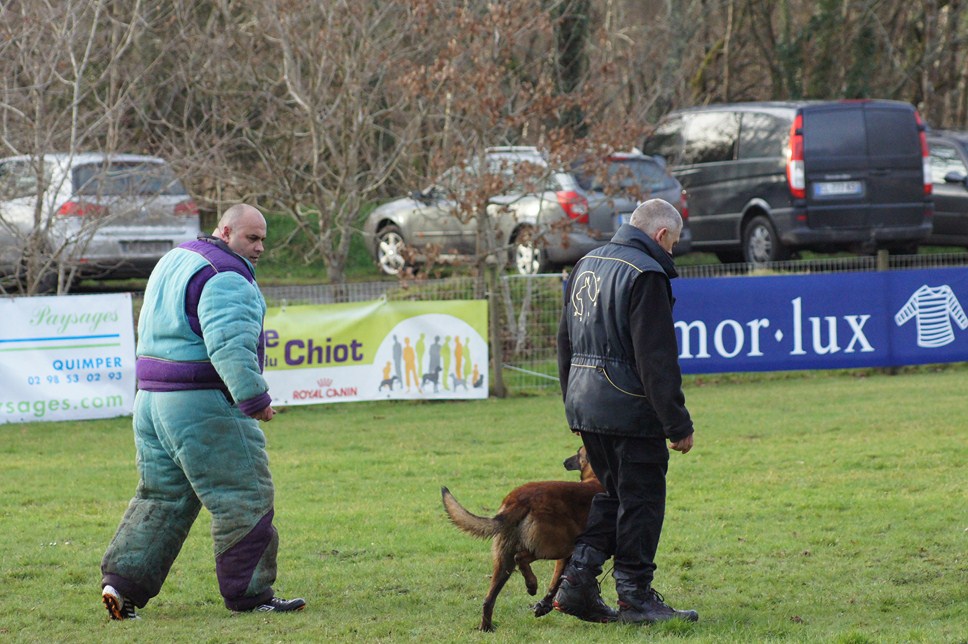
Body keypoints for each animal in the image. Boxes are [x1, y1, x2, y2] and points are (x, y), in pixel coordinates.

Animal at [442, 446, 600, 632]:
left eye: (577, 454)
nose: (565, 462)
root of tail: (518, 498)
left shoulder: (565, 560)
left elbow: (555, 583)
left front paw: (544, 606)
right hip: (558, 546)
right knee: (521, 558)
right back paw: (531, 585)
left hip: (504, 563)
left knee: (488, 600)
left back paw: (486, 628)